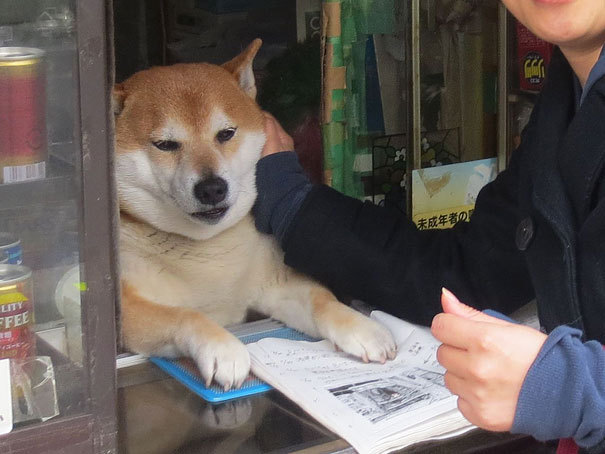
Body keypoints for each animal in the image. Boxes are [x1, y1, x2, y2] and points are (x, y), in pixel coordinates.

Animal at [113, 39, 396, 388]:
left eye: (226, 133)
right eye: (165, 145)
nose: (211, 188)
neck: (210, 252)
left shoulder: (278, 284)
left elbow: (324, 301)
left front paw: (363, 328)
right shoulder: (128, 311)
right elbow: (186, 315)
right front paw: (223, 348)